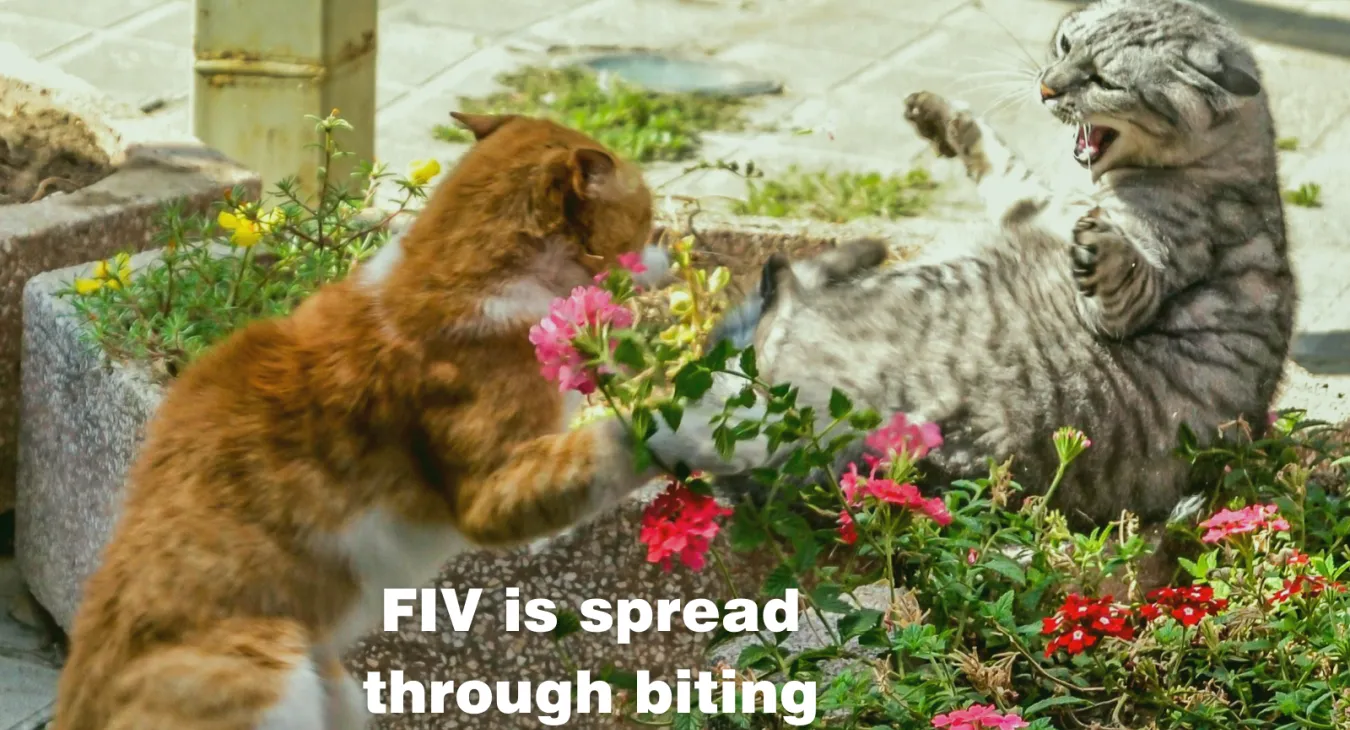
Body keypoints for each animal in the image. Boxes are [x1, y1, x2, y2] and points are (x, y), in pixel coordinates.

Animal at [52, 112, 739, 728]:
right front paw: (710, 415)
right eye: (645, 218)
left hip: (341, 693)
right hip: (273, 661)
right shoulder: (495, 491)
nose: (670, 248)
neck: (455, 276)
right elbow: (618, 436)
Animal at [696, 0, 1296, 526]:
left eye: (1104, 81)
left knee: (764, 320)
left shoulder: (1131, 266)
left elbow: (1115, 264)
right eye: (1065, 44)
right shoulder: (1036, 202)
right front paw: (938, 117)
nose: (1046, 86)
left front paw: (1103, 245)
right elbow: (999, 161)